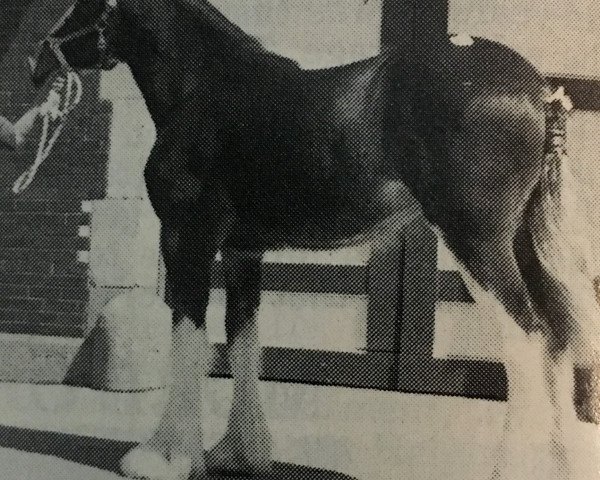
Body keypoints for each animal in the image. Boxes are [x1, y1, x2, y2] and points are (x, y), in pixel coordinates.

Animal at [28, 0, 600, 480]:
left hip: (477, 244)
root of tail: (540, 92)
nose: (37, 62)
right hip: (520, 245)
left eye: (81, 1)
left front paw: (164, 458)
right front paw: (238, 453)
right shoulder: (242, 253)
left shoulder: (187, 241)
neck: (207, 89)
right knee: (556, 339)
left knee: (527, 340)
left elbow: (189, 341)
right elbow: (242, 343)